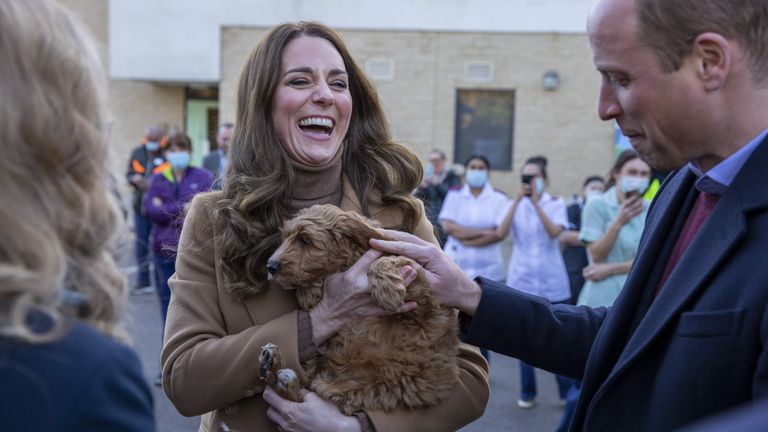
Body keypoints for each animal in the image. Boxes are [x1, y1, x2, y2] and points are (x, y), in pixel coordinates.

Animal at [260, 205, 460, 416]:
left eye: (305, 240)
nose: (270, 266)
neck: (345, 263)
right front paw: (309, 292)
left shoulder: (420, 289)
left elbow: (387, 259)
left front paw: (388, 292)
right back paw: (273, 366)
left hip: (354, 387)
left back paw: (278, 372)